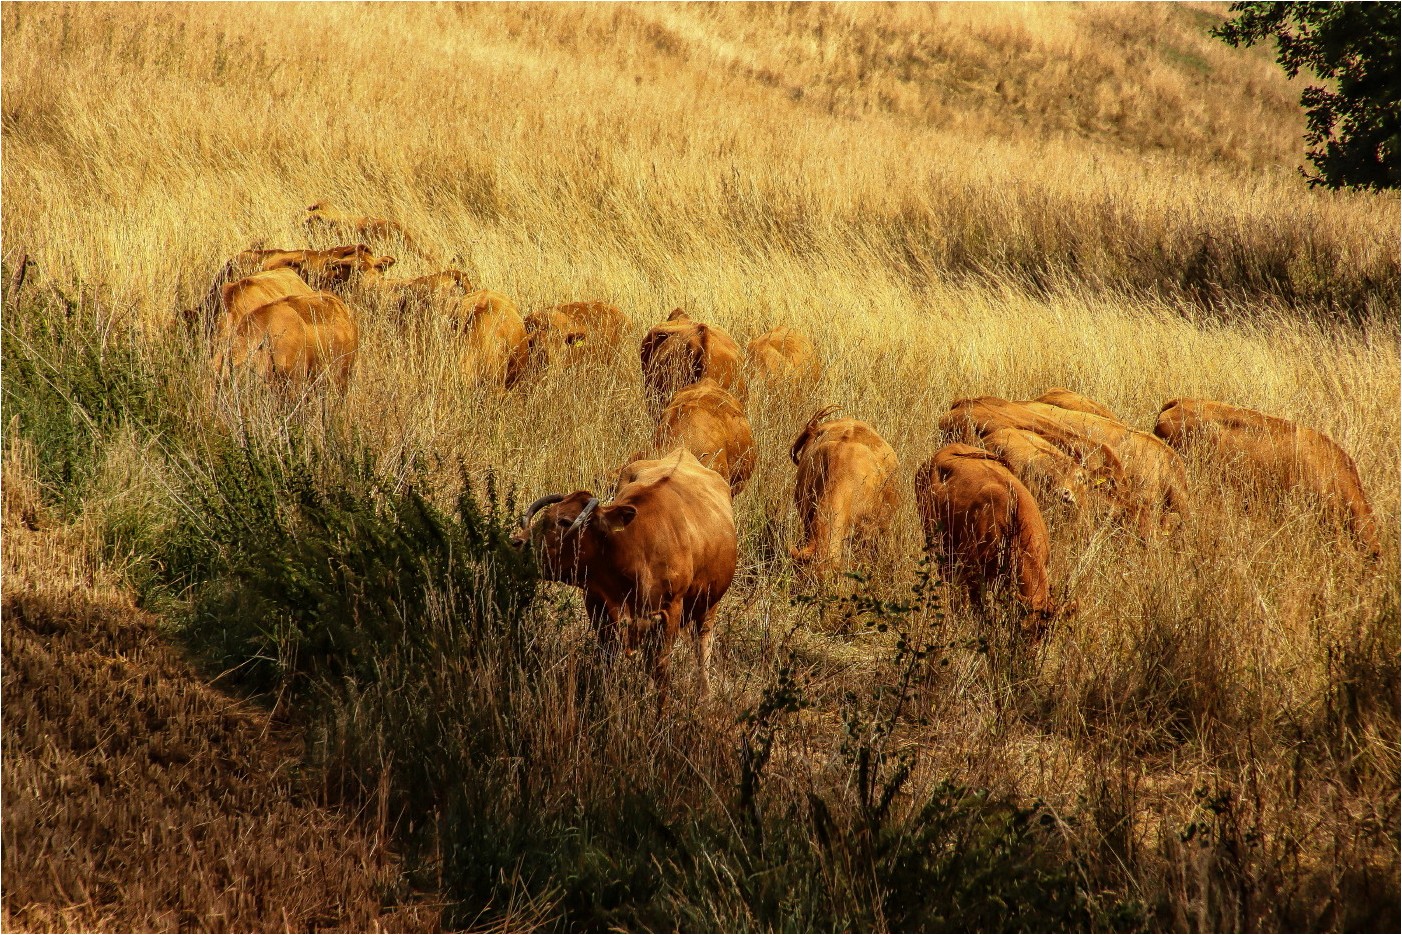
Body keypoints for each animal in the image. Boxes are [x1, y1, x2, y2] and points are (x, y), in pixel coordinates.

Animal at [513, 448, 734, 698]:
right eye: (547, 514)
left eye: (565, 521)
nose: (517, 543)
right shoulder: (597, 602)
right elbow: (608, 659)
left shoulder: (671, 611)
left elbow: (661, 670)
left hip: (709, 602)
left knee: (702, 644)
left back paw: (705, 694)